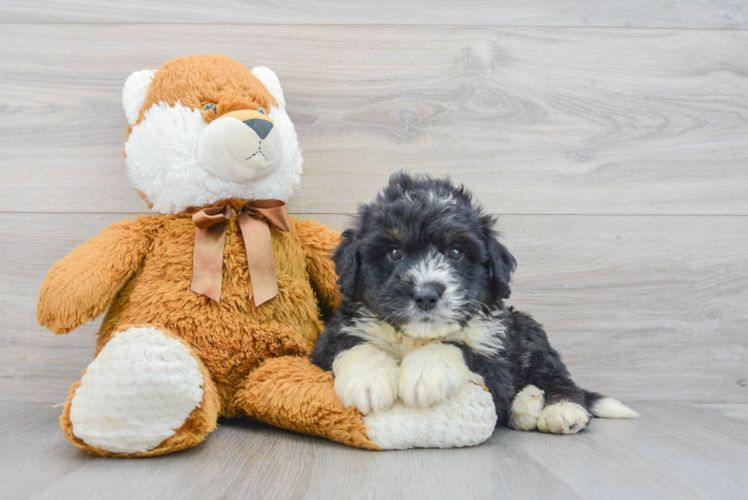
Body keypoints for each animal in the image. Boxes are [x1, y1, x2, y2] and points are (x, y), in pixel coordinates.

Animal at [310, 172, 636, 434]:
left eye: (456, 252)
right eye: (394, 252)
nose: (426, 294)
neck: (416, 337)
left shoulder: (498, 364)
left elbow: (457, 347)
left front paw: (426, 373)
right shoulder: (330, 340)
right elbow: (356, 345)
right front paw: (368, 380)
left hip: (528, 331)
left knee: (557, 378)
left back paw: (560, 410)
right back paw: (528, 405)